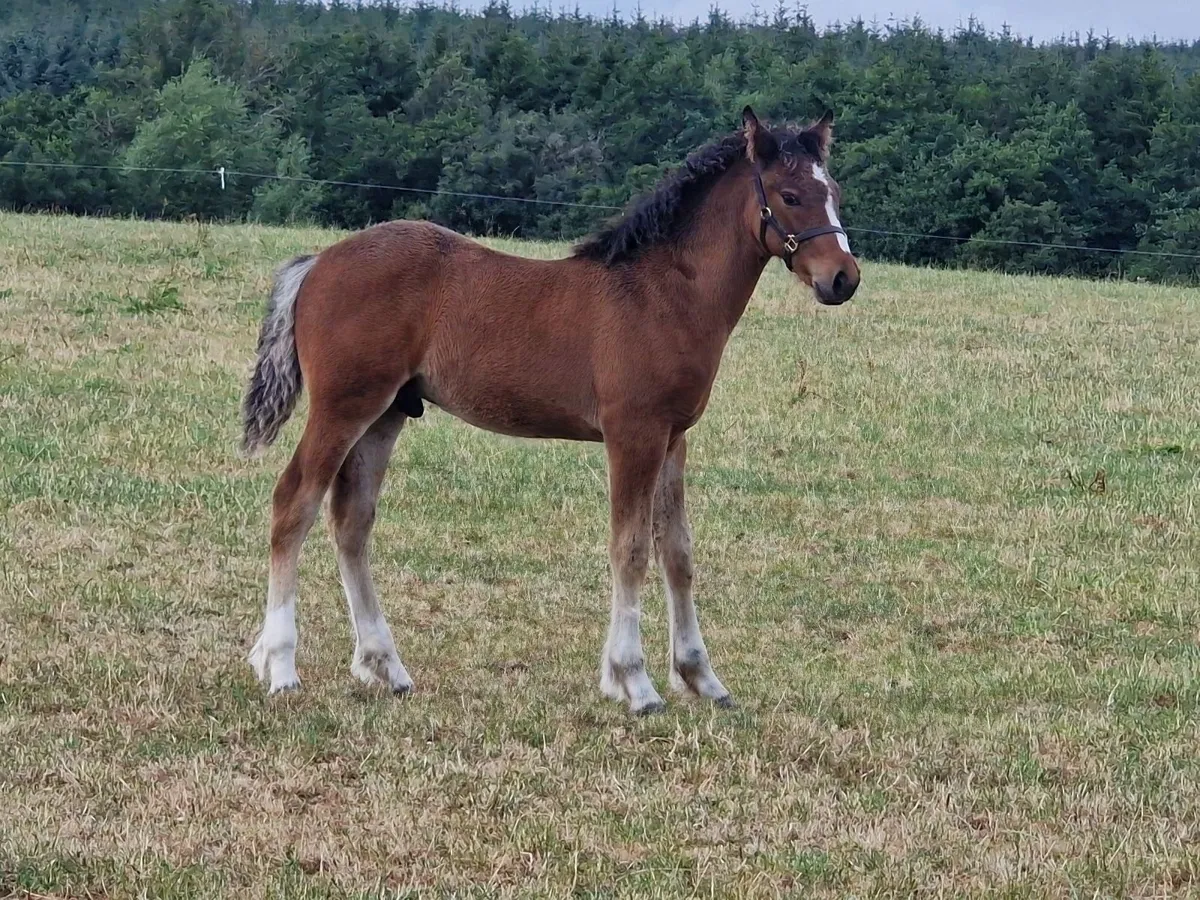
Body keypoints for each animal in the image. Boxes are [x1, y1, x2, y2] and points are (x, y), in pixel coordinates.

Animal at [241, 106, 860, 714]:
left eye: (833, 191)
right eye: (789, 195)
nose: (843, 278)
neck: (662, 294)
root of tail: (318, 261)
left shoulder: (674, 436)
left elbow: (677, 552)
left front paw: (700, 677)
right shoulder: (633, 434)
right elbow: (631, 549)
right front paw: (634, 683)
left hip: (386, 414)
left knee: (351, 520)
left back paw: (385, 667)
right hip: (343, 407)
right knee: (293, 503)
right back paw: (281, 668)